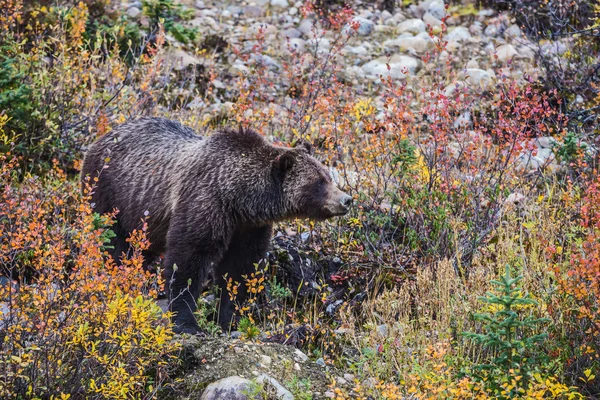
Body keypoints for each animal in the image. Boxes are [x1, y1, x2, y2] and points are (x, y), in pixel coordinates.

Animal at [79, 116, 352, 334]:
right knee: (115, 245)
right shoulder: (204, 201)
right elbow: (188, 258)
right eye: (318, 182)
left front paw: (231, 319)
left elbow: (238, 269)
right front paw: (188, 323)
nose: (346, 199)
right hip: (109, 196)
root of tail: (100, 139)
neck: (238, 198)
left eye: (328, 175)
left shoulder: (249, 227)